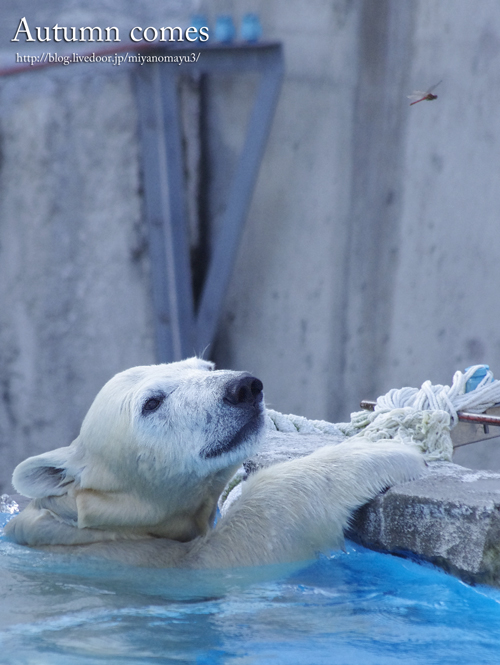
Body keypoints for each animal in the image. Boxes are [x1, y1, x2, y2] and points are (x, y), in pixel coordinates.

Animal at [4, 358, 426, 564]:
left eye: (206, 366)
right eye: (152, 403)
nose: (243, 388)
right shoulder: (144, 565)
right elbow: (240, 543)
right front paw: (386, 451)